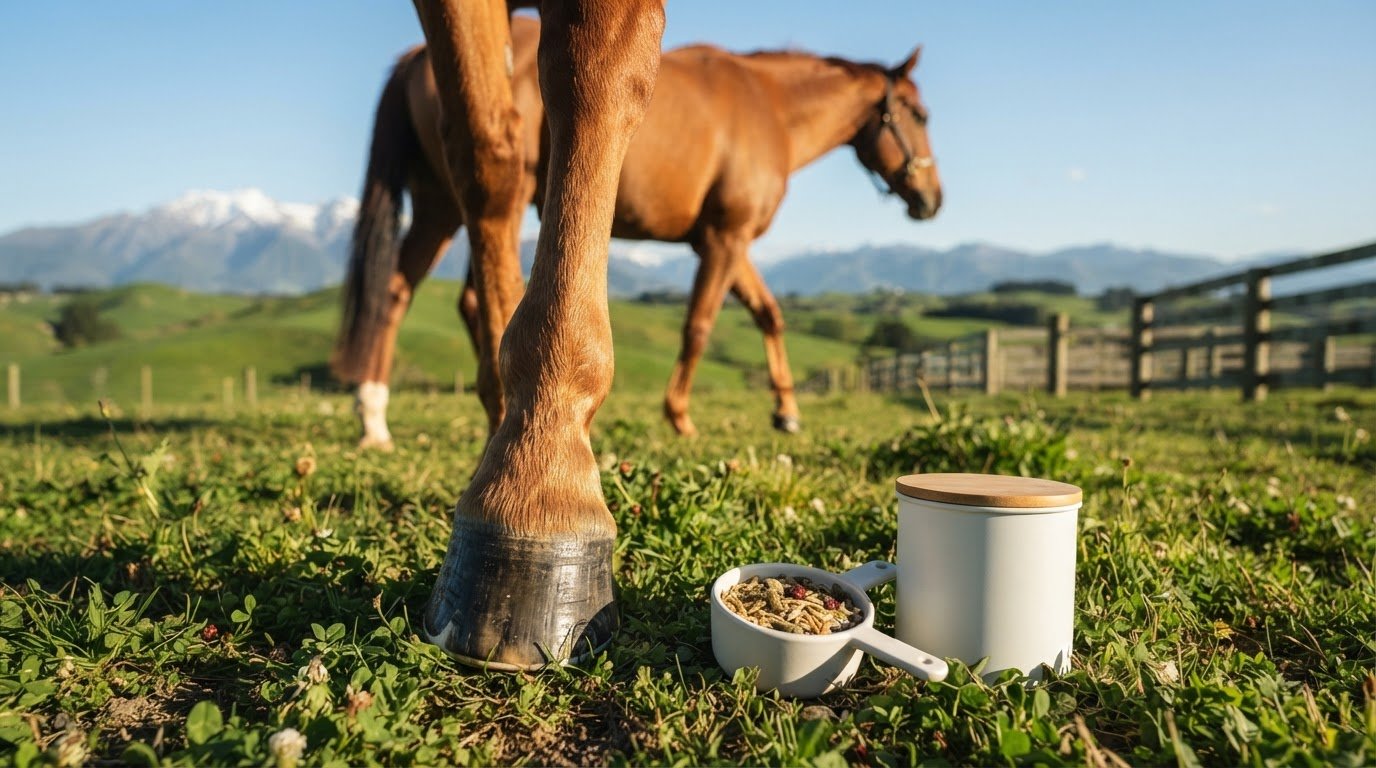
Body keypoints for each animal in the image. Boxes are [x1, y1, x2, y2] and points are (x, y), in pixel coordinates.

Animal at [332, 15, 942, 451]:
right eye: (918, 114)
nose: (932, 201)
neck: (769, 106)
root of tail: (415, 58)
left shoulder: (724, 239)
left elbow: (768, 314)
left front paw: (786, 411)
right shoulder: (725, 238)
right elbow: (698, 326)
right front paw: (680, 417)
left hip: (443, 204)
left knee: (399, 291)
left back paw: (375, 418)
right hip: (465, 202)